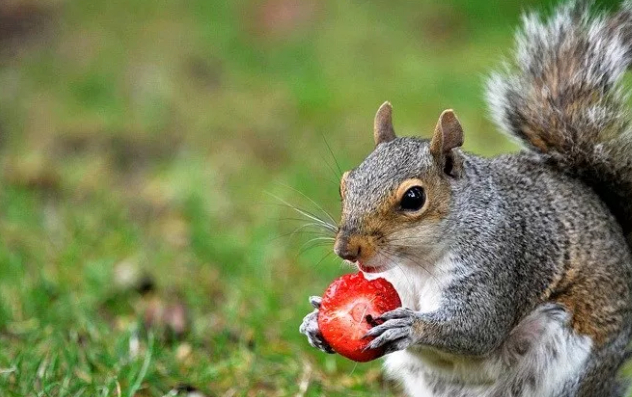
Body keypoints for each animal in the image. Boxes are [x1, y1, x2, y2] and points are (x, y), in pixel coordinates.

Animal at [298, 1, 632, 394]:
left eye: (414, 197)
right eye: (345, 184)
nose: (346, 250)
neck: (415, 261)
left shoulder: (500, 260)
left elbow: (478, 326)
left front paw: (411, 325)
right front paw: (314, 319)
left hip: (571, 366)